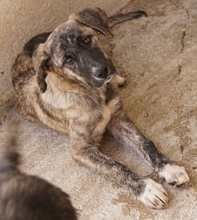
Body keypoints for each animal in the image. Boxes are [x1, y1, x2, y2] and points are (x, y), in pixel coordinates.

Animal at [11, 7, 190, 209]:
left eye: (86, 39)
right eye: (68, 60)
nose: (102, 71)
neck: (92, 92)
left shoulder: (118, 119)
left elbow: (145, 143)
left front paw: (170, 168)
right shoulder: (81, 149)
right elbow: (115, 166)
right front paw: (147, 189)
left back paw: (118, 76)